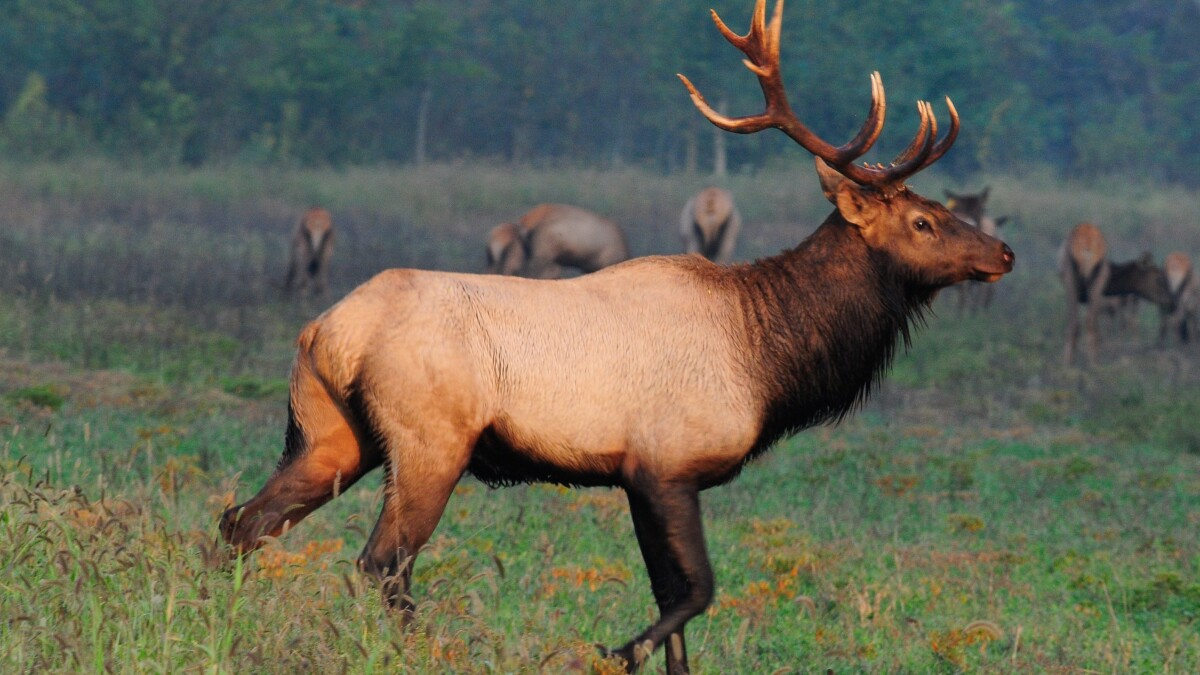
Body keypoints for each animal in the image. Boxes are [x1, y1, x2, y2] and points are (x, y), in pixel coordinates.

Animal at [1059, 222, 1172, 366]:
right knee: (1089, 323)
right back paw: (1091, 363)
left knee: (1077, 323)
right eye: (1159, 278)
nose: (1171, 301)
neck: (1111, 287)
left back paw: (1073, 363)